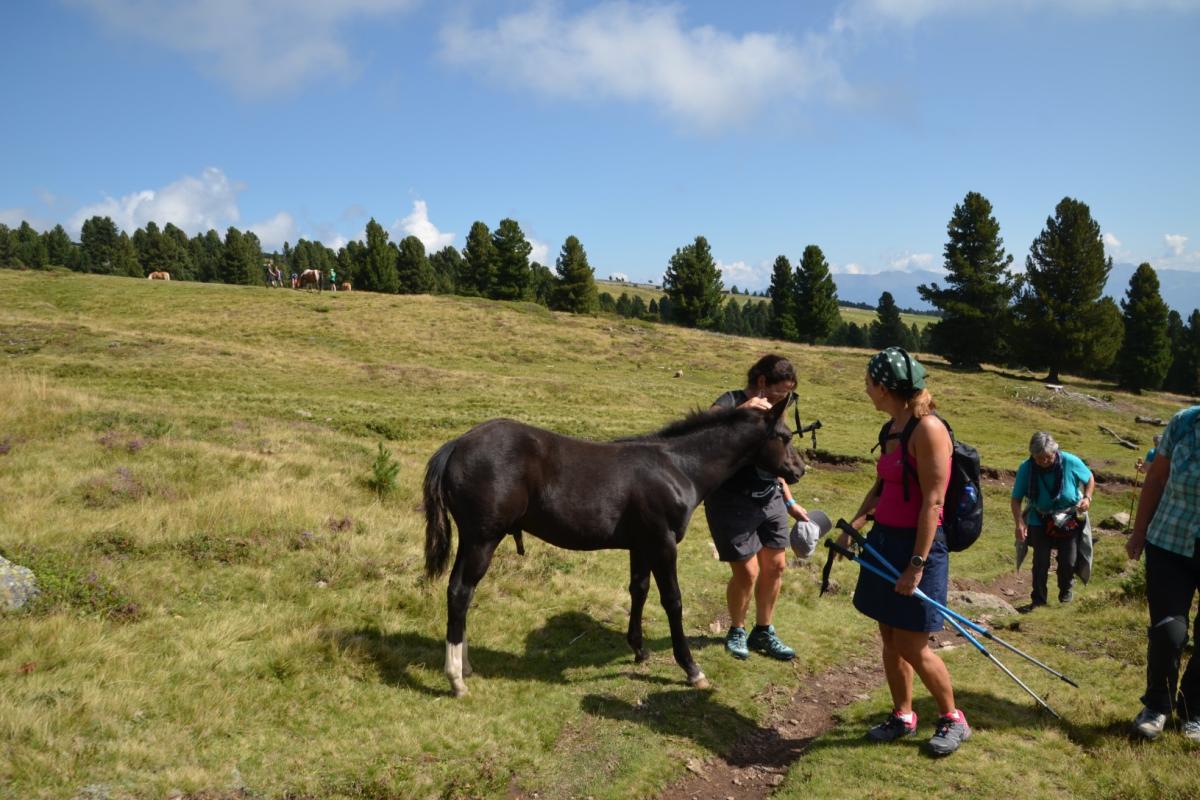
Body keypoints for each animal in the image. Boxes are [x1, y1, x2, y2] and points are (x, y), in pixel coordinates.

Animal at [422, 398, 806, 695]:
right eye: (786, 436)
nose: (800, 469)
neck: (678, 467)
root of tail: (457, 444)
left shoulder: (641, 544)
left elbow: (639, 589)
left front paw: (638, 649)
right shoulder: (663, 543)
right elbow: (672, 601)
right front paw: (691, 669)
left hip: (472, 540)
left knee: (460, 592)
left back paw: (465, 667)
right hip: (482, 539)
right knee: (460, 592)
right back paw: (456, 679)